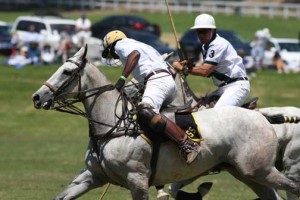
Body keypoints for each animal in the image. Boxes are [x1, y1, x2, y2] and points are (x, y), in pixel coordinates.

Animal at [32, 46, 300, 199]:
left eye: (67, 72)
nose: (37, 97)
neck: (112, 124)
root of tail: (262, 117)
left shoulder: (138, 180)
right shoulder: (91, 176)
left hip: (265, 169)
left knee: (293, 187)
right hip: (248, 173)